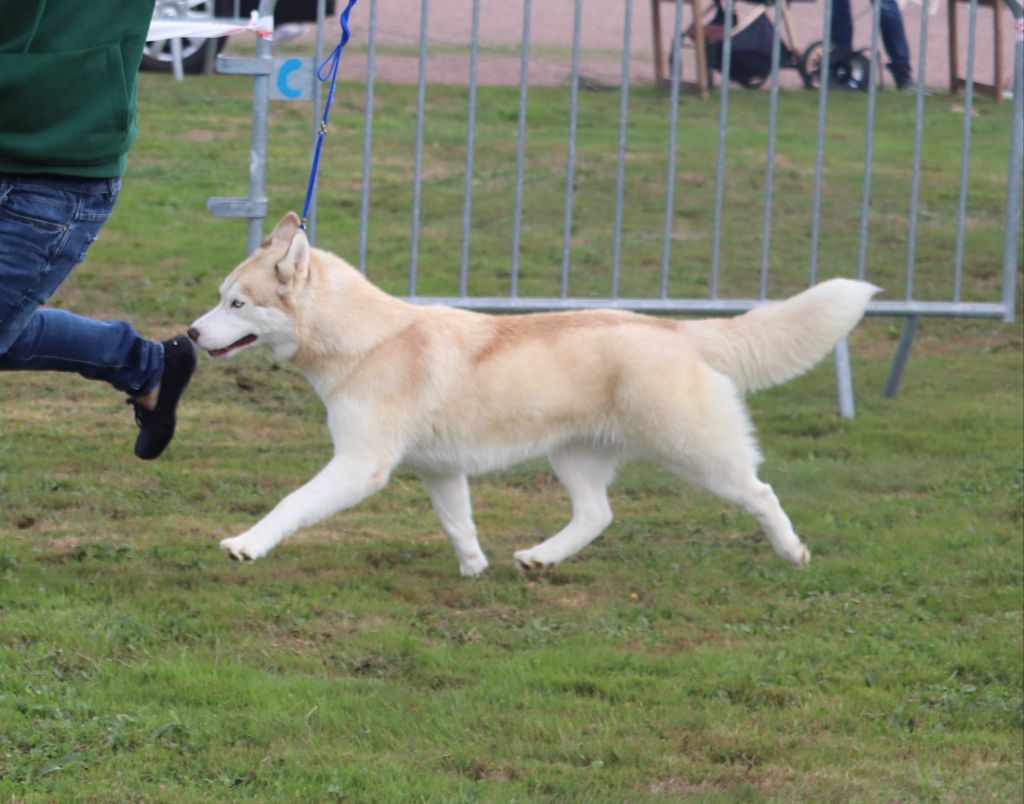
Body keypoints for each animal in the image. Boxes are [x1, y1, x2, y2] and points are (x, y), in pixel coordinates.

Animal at [188, 212, 878, 576]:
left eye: (236, 303)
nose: (191, 333)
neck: (367, 340)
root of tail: (676, 327)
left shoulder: (360, 466)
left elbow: (292, 503)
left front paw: (247, 544)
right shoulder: (439, 469)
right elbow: (458, 522)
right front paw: (475, 570)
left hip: (696, 453)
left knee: (761, 492)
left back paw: (792, 551)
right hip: (573, 456)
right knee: (597, 514)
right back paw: (541, 558)